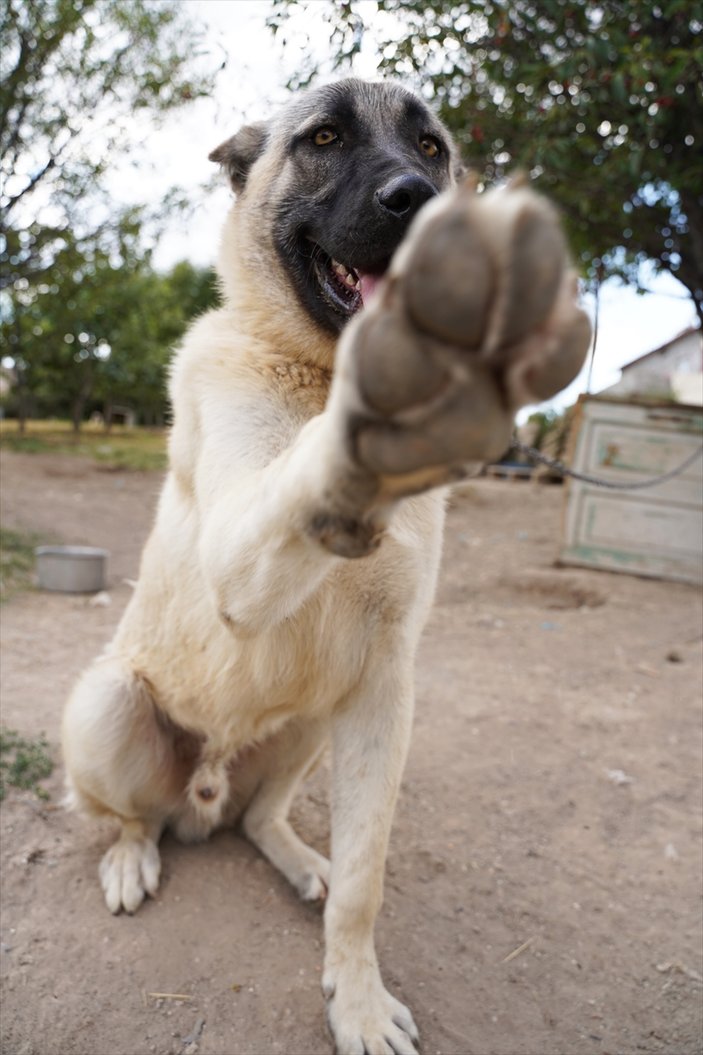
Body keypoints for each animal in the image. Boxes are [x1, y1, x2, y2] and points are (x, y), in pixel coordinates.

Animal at [63, 78, 586, 1050]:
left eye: (431, 148)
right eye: (324, 138)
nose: (418, 203)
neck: (308, 370)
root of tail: (202, 791)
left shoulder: (384, 680)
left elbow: (366, 880)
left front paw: (358, 996)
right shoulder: (238, 561)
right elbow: (304, 468)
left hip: (316, 712)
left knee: (261, 816)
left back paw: (301, 857)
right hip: (109, 700)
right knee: (130, 816)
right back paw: (131, 856)